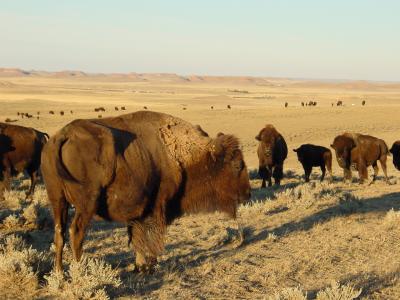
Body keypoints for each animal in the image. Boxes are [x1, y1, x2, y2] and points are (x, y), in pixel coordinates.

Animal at [42, 111, 252, 274]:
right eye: (237, 165)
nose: (247, 194)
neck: (184, 154)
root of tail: (63, 136)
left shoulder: (138, 212)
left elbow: (137, 238)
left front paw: (140, 266)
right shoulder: (155, 207)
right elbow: (148, 238)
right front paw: (149, 266)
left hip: (58, 200)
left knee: (59, 233)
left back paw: (59, 274)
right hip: (86, 204)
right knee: (76, 232)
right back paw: (80, 271)